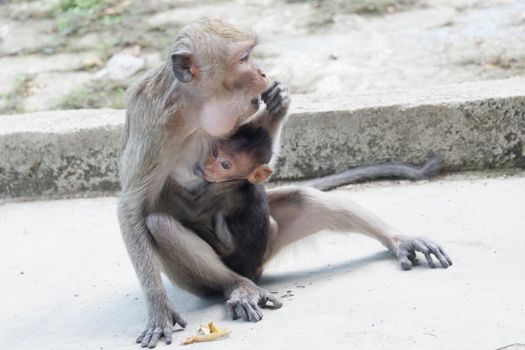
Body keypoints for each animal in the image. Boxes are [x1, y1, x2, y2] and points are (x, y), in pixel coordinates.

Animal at [117, 17, 450, 346]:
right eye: (243, 58)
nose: (262, 72)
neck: (196, 107)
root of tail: (255, 269)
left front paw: (278, 106)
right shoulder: (155, 123)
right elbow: (132, 205)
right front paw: (159, 308)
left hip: (269, 244)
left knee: (304, 199)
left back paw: (397, 239)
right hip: (205, 278)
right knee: (161, 224)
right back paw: (237, 285)